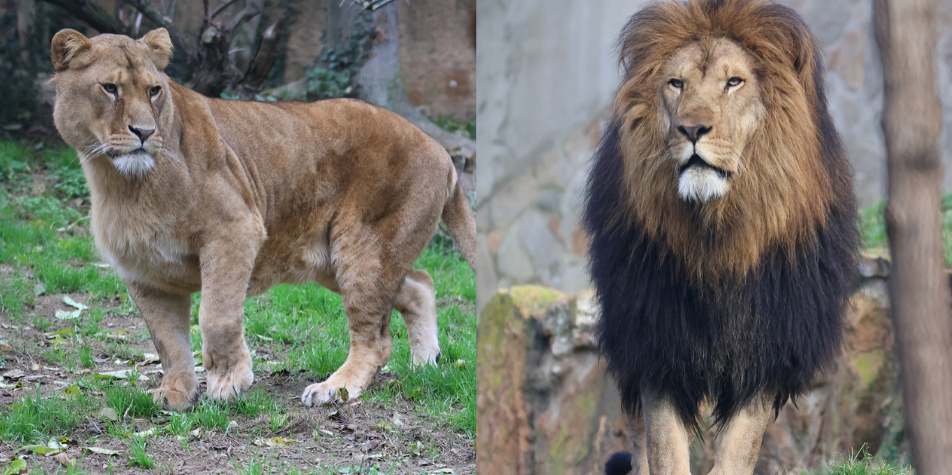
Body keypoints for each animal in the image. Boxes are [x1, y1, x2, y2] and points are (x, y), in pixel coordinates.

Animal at [49, 28, 476, 411]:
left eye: (154, 90)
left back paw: (335, 389)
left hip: (363, 250)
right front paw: (175, 394)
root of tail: (440, 149)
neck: (122, 182)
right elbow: (167, 341)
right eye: (110, 88)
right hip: (339, 259)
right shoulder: (145, 269)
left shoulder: (234, 231)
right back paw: (425, 366)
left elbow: (216, 317)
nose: (144, 131)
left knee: (377, 339)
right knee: (420, 284)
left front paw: (229, 384)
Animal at [582, 1, 859, 474]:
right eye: (676, 83)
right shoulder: (655, 342)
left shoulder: (769, 346)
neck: (716, 233)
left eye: (734, 82)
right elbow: (664, 449)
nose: (692, 129)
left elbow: (738, 449)